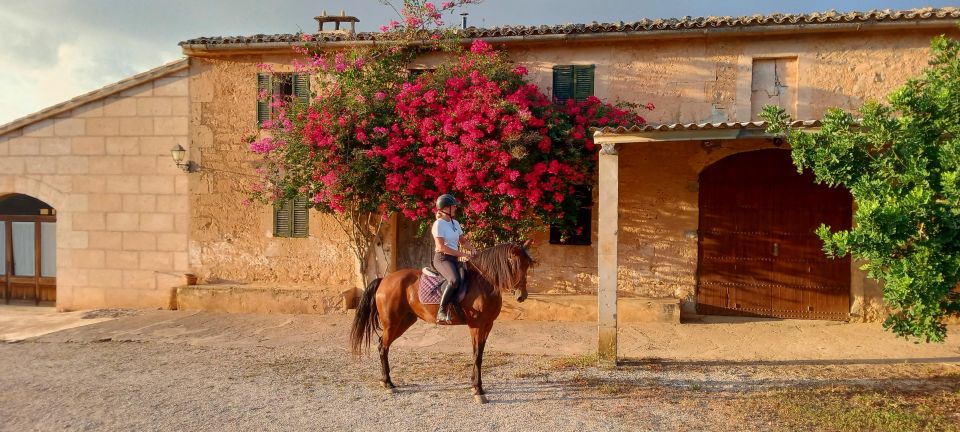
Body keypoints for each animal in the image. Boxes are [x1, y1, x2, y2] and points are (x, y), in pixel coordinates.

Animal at [350, 241, 532, 404]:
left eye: (527, 266)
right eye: (514, 263)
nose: (521, 296)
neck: (483, 282)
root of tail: (384, 280)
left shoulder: (487, 325)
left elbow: (478, 354)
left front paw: (474, 386)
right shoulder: (477, 326)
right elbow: (477, 356)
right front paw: (478, 391)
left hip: (404, 322)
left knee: (384, 345)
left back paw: (386, 381)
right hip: (392, 323)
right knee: (383, 347)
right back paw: (388, 384)